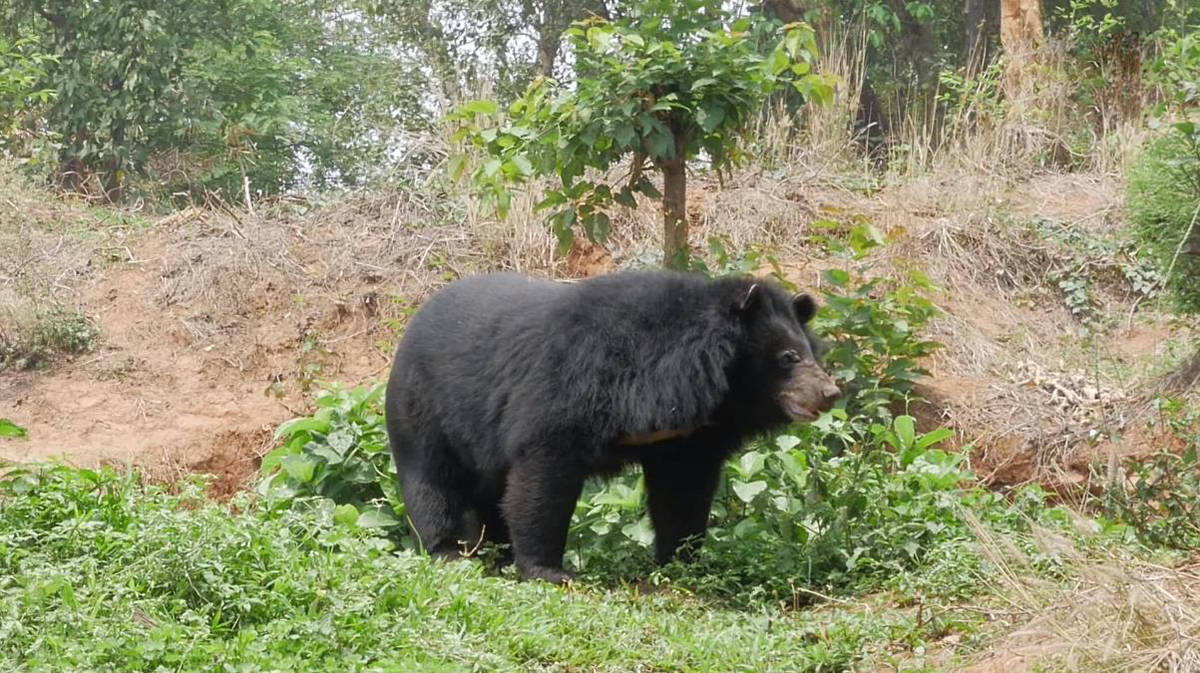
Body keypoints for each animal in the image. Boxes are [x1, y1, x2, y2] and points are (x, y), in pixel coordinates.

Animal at [388, 269, 840, 580]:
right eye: (787, 358)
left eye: (810, 353)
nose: (830, 393)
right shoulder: (569, 390)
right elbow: (542, 481)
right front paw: (550, 571)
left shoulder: (685, 438)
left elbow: (683, 493)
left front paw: (682, 563)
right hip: (423, 409)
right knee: (432, 482)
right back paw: (448, 552)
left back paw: (496, 554)